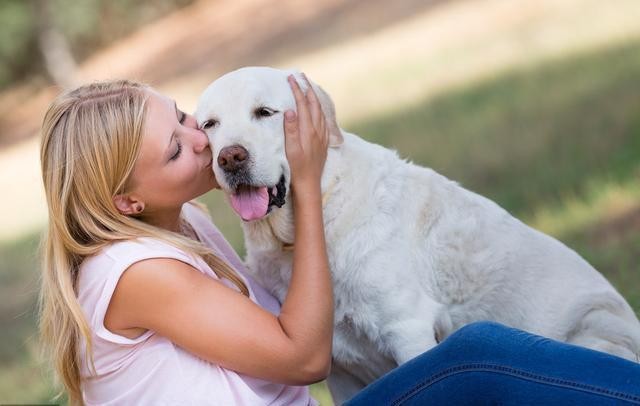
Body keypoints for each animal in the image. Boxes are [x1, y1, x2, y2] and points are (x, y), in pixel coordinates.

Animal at [195, 66, 640, 402]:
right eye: (209, 125)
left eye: (265, 112)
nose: (230, 157)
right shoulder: (335, 365)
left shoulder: (407, 328)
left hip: (597, 331)